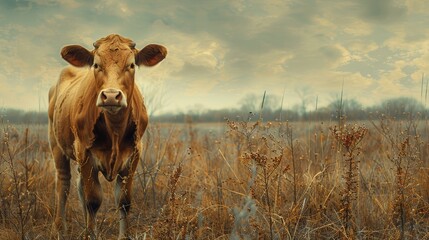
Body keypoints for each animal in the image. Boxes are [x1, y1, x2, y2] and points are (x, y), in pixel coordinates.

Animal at [48, 34, 166, 240]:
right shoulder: (85, 151)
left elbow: (124, 201)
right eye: (96, 65)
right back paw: (60, 228)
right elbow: (93, 200)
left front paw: (123, 236)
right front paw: (91, 235)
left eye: (131, 65)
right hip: (56, 145)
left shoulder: (134, 154)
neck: (115, 130)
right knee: (63, 184)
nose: (111, 96)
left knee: (79, 186)